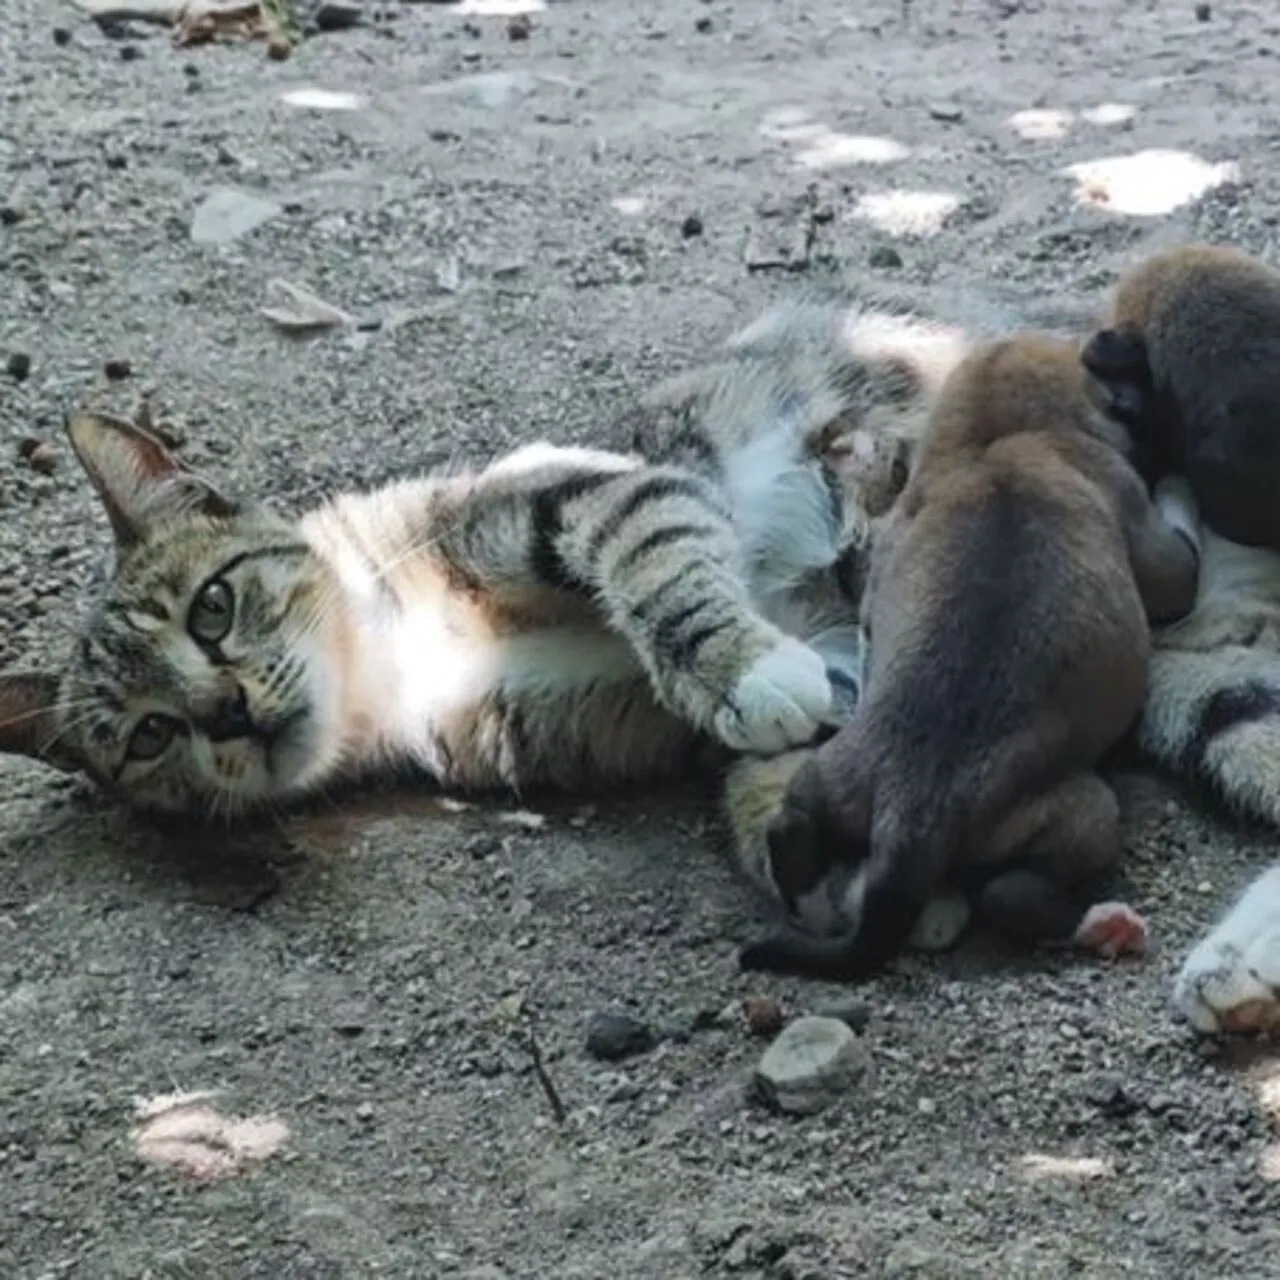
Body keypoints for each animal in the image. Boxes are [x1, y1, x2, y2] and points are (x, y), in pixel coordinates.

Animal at [742, 335, 1198, 983]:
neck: (996, 438)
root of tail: (908, 825)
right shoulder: (1148, 533)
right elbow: (1180, 555)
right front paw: (1180, 486)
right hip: (1079, 816)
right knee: (1009, 895)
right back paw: (1101, 923)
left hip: (834, 775)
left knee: (792, 827)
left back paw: (812, 909)